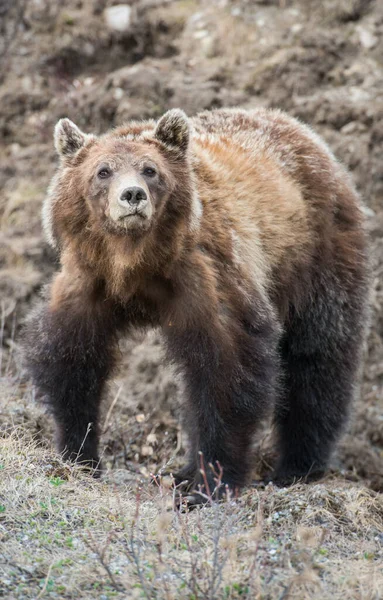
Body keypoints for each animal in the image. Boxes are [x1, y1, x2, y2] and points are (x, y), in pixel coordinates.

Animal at [23, 108, 368, 506]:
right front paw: (79, 454)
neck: (134, 262)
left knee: (318, 358)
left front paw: (210, 482)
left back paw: (297, 466)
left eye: (150, 169)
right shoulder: (89, 281)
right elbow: (73, 361)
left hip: (315, 255)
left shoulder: (205, 275)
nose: (132, 195)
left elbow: (227, 370)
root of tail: (301, 129)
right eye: (103, 170)